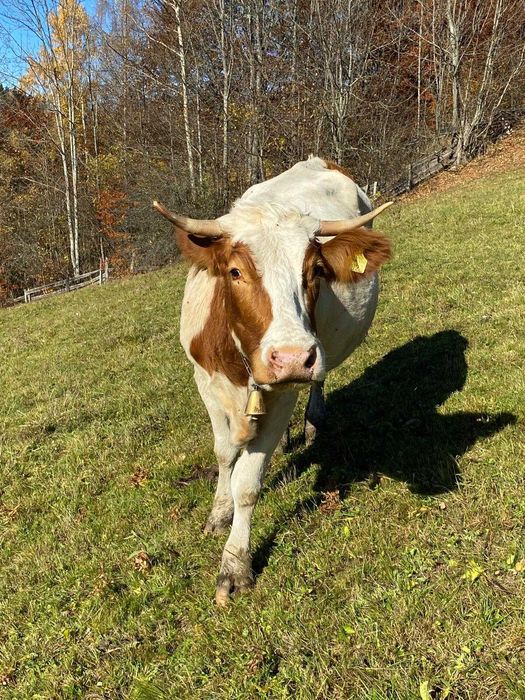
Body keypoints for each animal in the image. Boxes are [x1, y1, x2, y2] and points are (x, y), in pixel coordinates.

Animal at [153, 156, 392, 605]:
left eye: (315, 271)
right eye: (235, 271)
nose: (293, 357)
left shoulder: (283, 395)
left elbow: (248, 483)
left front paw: (235, 564)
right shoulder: (205, 383)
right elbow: (224, 454)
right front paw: (219, 512)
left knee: (318, 382)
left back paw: (313, 422)